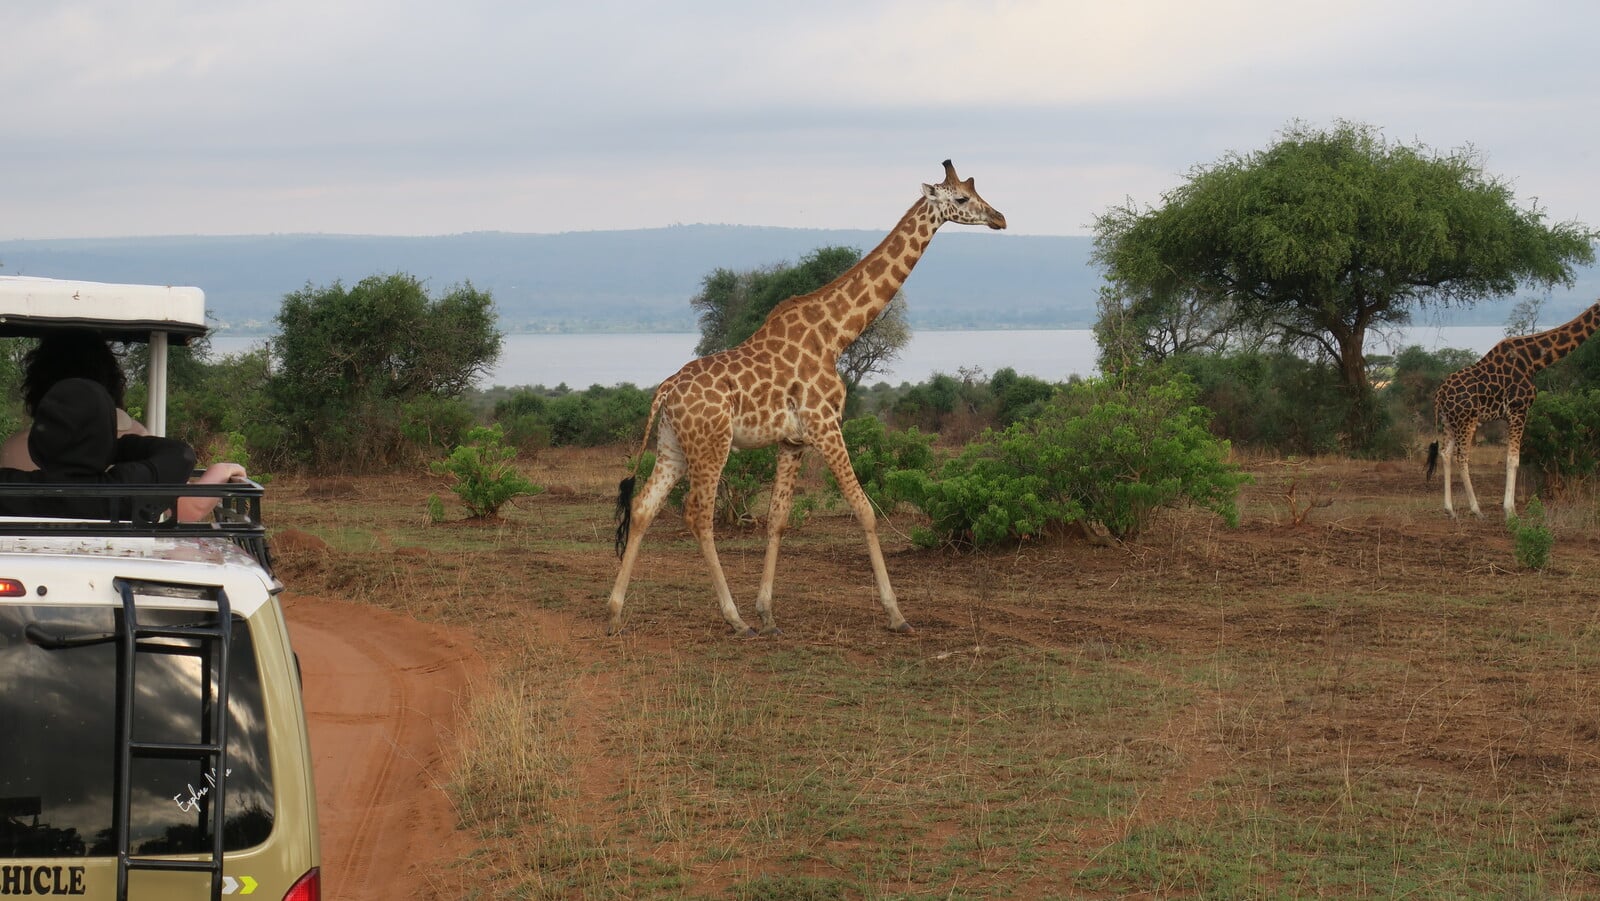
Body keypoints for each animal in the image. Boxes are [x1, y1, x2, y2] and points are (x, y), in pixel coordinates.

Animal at [607, 160, 1006, 637]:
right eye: (962, 198)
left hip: (673, 445)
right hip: (711, 445)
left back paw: (614, 611)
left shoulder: (792, 440)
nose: (1000, 218)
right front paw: (896, 615)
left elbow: (778, 520)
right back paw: (734, 618)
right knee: (697, 515)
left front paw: (768, 613)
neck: (836, 334)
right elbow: (865, 510)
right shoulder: (825, 425)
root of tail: (665, 390)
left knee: (644, 507)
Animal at [1426, 298, 1600, 518]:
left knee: (1445, 454)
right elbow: (1513, 459)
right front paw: (1510, 511)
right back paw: (1477, 510)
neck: (1534, 360)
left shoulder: (1510, 415)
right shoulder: (1519, 409)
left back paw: (1450, 510)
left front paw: (1509, 508)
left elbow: (1511, 458)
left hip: (1449, 421)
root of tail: (1440, 393)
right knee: (1461, 457)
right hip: (1466, 421)